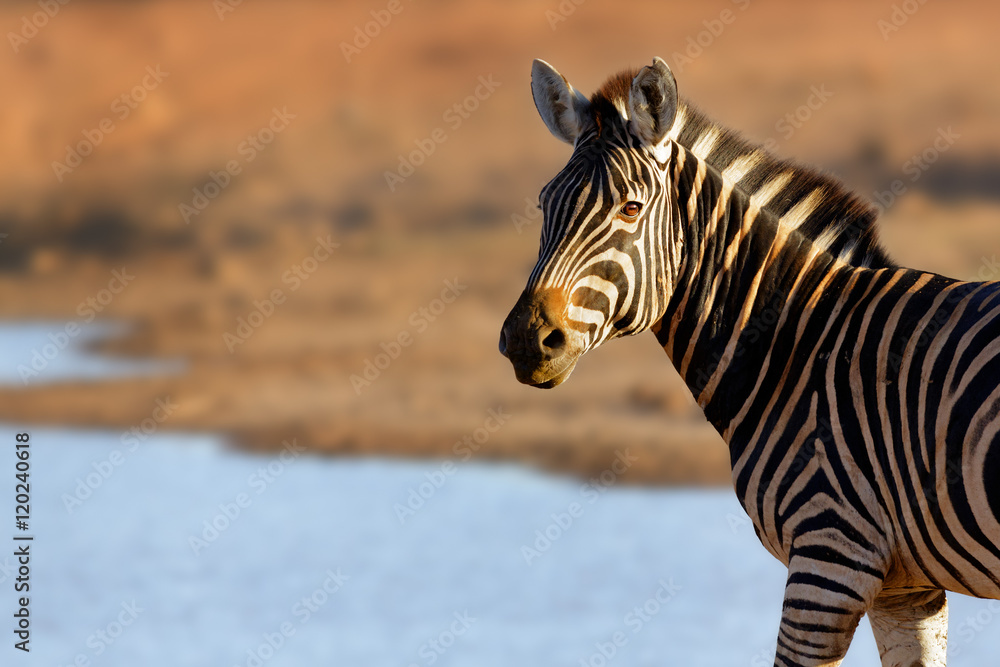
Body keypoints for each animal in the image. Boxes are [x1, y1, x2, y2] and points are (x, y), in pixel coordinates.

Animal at [498, 57, 1000, 666]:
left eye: (630, 208)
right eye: (544, 204)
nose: (526, 339)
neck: (799, 344)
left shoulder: (830, 554)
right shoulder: (907, 586)